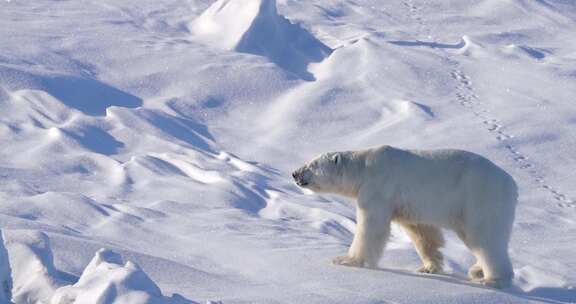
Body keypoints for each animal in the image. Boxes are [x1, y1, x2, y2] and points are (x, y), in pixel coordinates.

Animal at [292, 146, 516, 288]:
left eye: (312, 164)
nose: (294, 173)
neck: (364, 168)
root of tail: (512, 184)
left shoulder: (379, 187)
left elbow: (371, 225)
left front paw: (346, 260)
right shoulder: (408, 204)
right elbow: (421, 232)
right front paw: (429, 266)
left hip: (480, 197)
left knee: (485, 237)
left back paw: (492, 279)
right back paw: (477, 269)